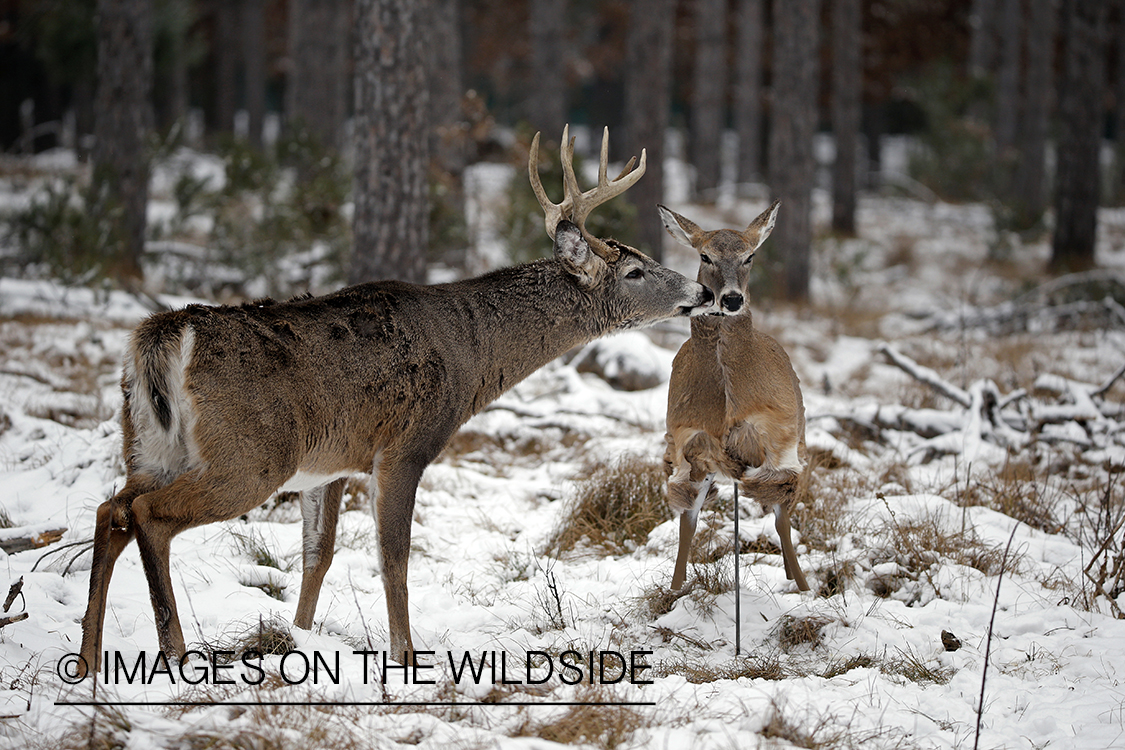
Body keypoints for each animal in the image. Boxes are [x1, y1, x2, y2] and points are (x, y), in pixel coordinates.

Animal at [76, 126, 715, 677]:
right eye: (635, 271)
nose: (704, 291)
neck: (470, 352)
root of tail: (160, 334)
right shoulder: (404, 447)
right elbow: (394, 558)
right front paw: (406, 657)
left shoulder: (328, 464)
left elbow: (318, 554)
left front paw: (299, 638)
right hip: (249, 455)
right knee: (148, 514)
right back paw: (174, 652)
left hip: (150, 443)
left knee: (112, 509)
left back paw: (88, 659)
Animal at [658, 200, 811, 593]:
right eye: (705, 255)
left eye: (749, 256)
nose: (731, 299)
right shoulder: (686, 441)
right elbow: (687, 519)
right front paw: (676, 589)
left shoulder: (780, 439)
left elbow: (782, 517)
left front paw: (804, 589)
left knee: (782, 518)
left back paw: (798, 581)